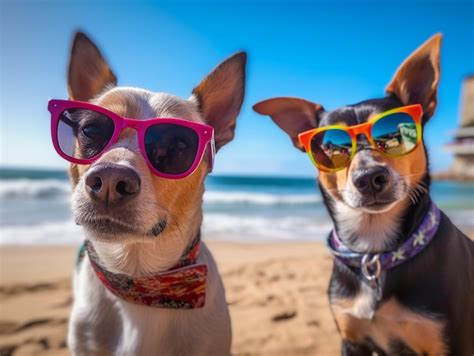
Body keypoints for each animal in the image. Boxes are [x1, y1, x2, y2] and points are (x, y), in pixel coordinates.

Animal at [256, 34, 474, 356]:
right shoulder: (352, 338)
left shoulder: (448, 342)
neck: (375, 253)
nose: (370, 178)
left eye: (391, 131)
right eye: (331, 146)